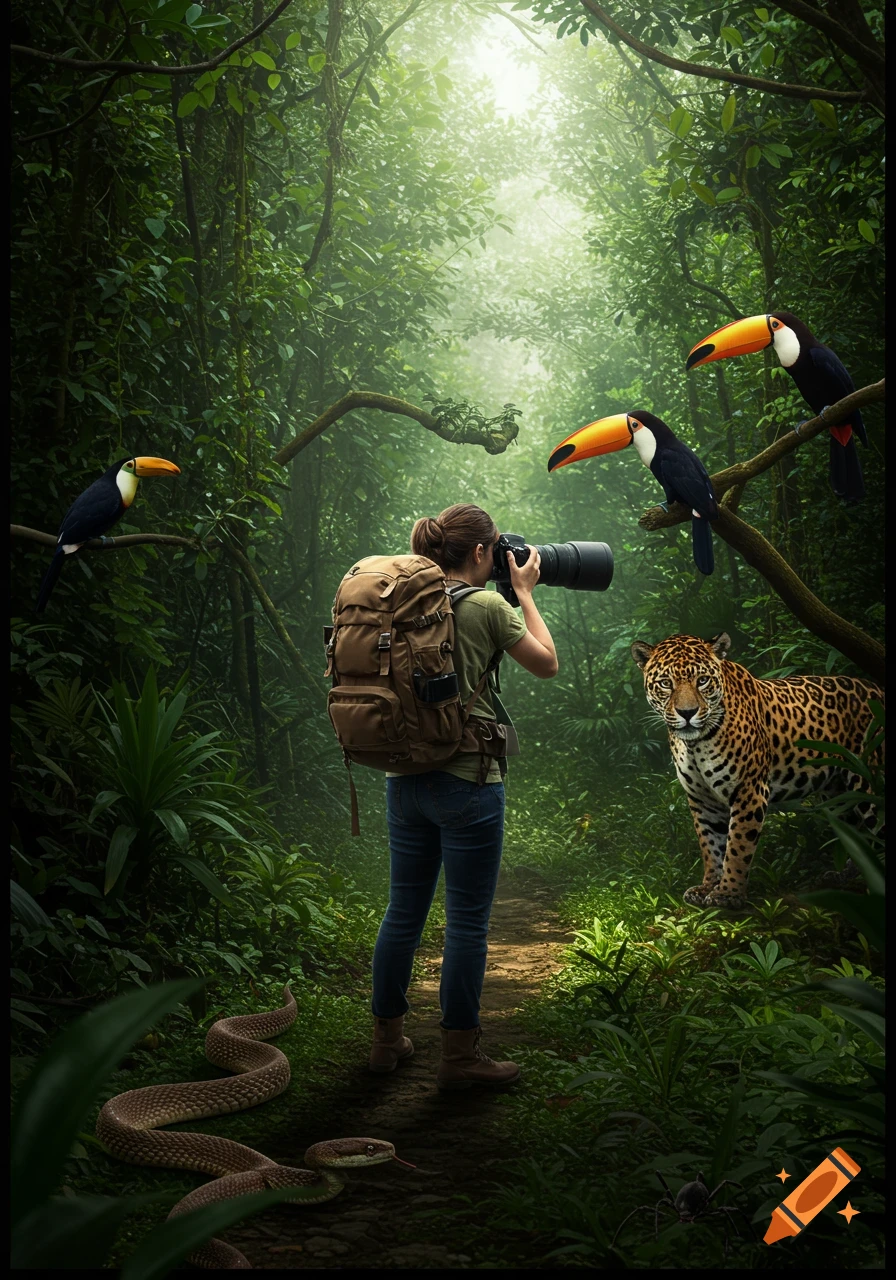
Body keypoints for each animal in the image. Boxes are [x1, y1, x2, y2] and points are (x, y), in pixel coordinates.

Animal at [631, 632, 883, 910]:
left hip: (870, 780)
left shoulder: (749, 790)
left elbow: (737, 846)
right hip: (839, 795)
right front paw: (708, 886)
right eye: (666, 683)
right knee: (857, 835)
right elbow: (710, 844)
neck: (695, 743)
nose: (687, 713)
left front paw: (728, 893)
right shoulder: (702, 799)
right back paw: (846, 875)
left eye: (703, 680)